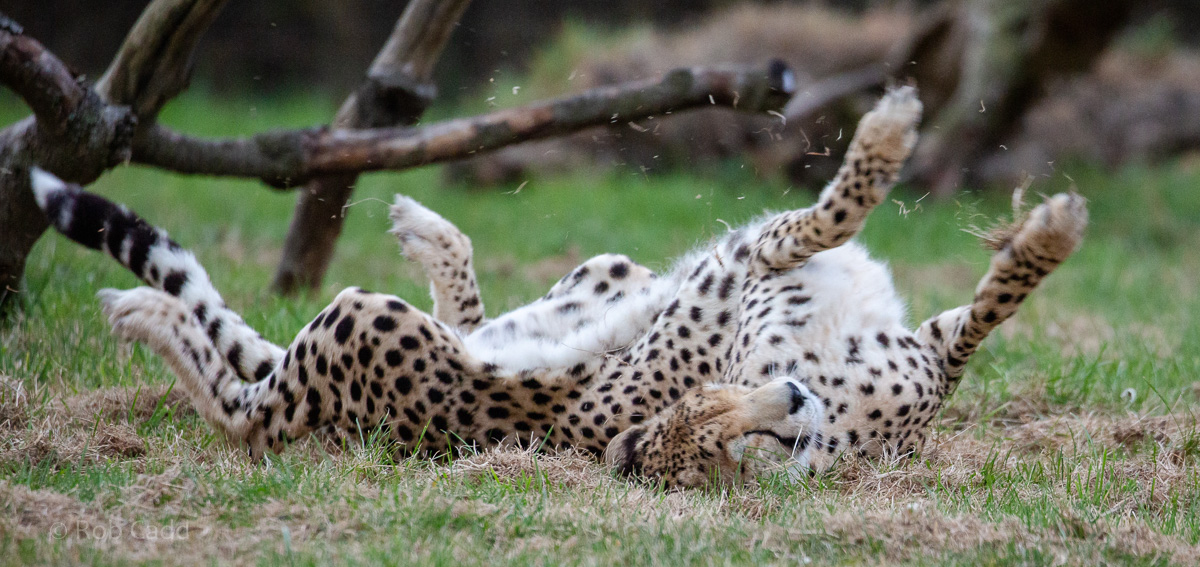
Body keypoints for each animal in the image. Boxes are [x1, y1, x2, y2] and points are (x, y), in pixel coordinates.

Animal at [30, 86, 1087, 488]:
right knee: (243, 407)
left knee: (261, 384)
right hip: (381, 318)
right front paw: (889, 139)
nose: (792, 405)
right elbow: (834, 218)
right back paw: (148, 309)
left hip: (520, 292)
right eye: (706, 424)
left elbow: (986, 307)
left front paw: (1044, 228)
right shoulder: (749, 266)